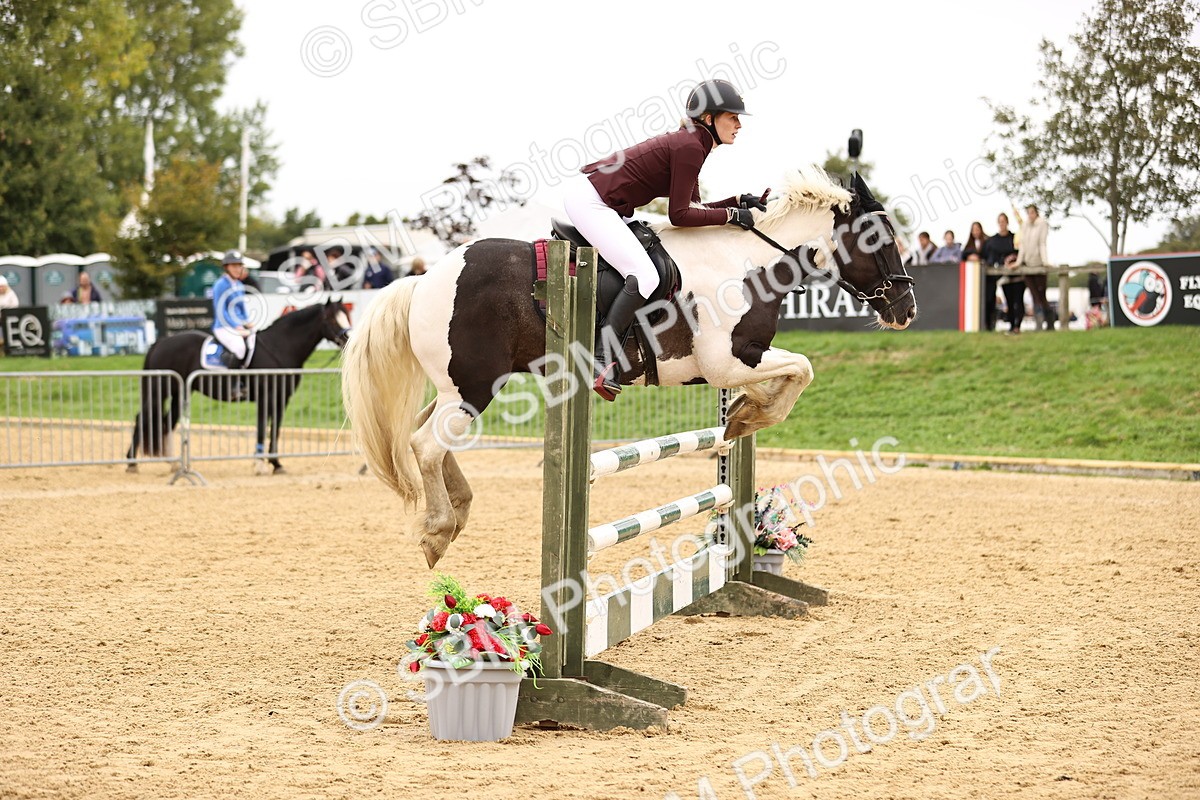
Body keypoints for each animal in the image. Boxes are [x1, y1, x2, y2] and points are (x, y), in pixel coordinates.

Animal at [126, 298, 352, 474]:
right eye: (332, 318)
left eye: (347, 315)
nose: (348, 338)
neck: (279, 347)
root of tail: (160, 342)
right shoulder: (266, 397)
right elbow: (262, 427)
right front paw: (260, 464)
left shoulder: (282, 398)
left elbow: (275, 429)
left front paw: (276, 463)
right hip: (159, 391)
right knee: (142, 419)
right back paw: (131, 463)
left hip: (179, 393)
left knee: (166, 423)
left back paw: (173, 464)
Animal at [342, 167, 917, 567]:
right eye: (880, 239)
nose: (906, 309)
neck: (747, 264)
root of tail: (423, 279)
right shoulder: (728, 362)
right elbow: (803, 368)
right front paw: (748, 417)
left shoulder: (734, 364)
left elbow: (793, 373)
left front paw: (742, 416)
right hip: (474, 385)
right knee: (425, 444)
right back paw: (437, 530)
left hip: (458, 386)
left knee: (426, 437)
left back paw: (458, 507)